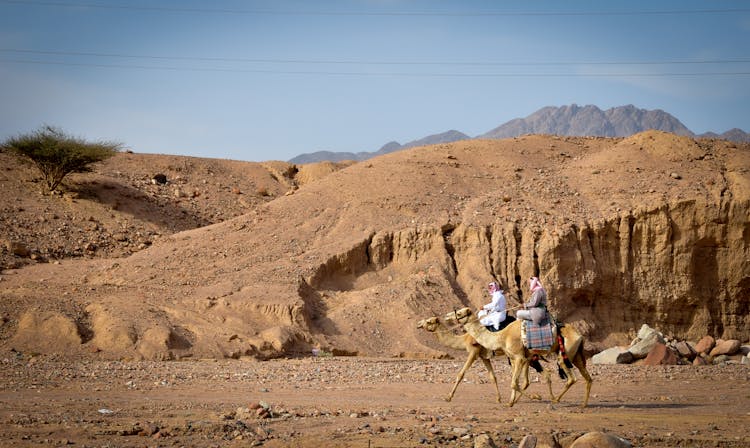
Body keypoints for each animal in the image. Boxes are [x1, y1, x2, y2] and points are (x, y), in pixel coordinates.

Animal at [414, 316, 544, 402]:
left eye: (429, 321)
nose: (418, 324)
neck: (464, 339)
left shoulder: (473, 352)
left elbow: (461, 374)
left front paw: (449, 397)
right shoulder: (484, 357)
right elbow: (492, 377)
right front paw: (498, 398)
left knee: (530, 375)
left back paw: (533, 397)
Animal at [444, 306, 596, 408]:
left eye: (459, 313)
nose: (446, 316)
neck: (502, 335)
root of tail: (579, 335)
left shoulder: (518, 357)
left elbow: (513, 383)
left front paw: (535, 397)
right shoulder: (513, 358)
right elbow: (514, 381)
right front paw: (510, 402)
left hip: (564, 354)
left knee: (571, 378)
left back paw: (556, 399)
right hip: (575, 355)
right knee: (588, 378)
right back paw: (583, 404)